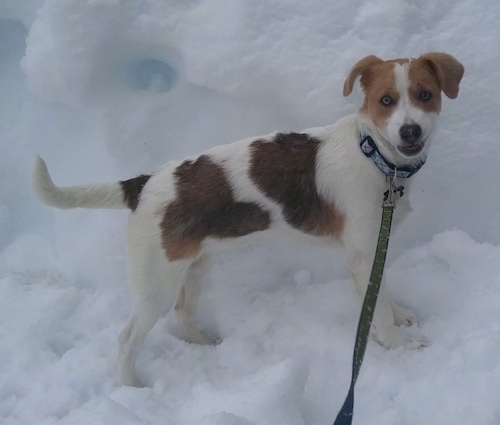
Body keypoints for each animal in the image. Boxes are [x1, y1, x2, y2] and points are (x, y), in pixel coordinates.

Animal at [33, 51, 464, 386]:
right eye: (385, 100)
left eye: (425, 95)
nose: (410, 131)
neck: (375, 156)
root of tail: (143, 183)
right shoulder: (361, 254)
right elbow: (377, 309)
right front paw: (397, 345)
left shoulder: (376, 245)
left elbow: (384, 296)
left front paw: (400, 316)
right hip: (155, 280)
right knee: (126, 340)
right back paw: (132, 388)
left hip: (196, 265)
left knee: (183, 311)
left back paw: (202, 345)